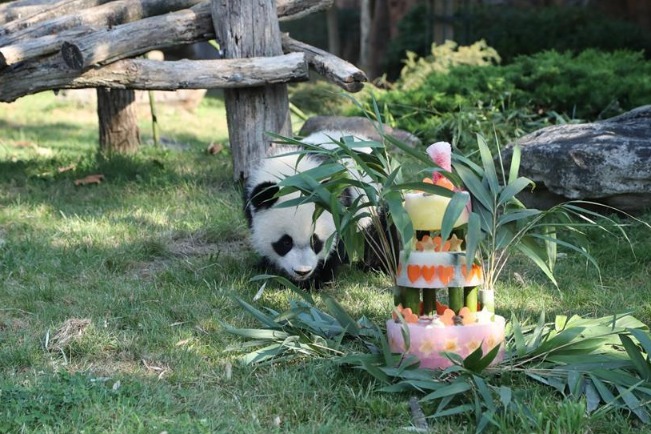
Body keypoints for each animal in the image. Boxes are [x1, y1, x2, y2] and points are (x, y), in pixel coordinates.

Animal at [243, 130, 388, 288]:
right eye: (286, 242)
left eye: (315, 241)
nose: (302, 272)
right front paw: (265, 266)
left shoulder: (339, 206)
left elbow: (336, 246)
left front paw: (315, 282)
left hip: (376, 197)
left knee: (380, 233)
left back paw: (375, 266)